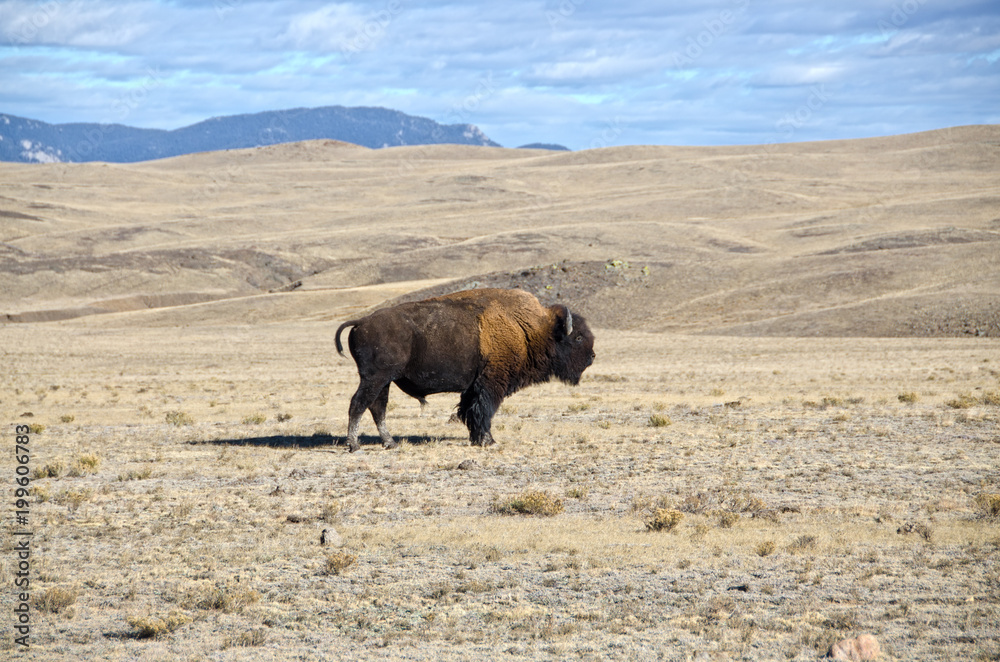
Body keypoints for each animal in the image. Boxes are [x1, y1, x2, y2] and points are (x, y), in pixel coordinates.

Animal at [335, 288, 595, 452]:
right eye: (578, 337)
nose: (592, 357)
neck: (533, 328)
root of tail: (361, 321)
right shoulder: (491, 384)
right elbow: (483, 411)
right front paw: (489, 441)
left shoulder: (472, 387)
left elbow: (470, 411)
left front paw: (477, 440)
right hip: (375, 378)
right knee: (359, 404)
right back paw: (354, 445)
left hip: (384, 381)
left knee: (377, 408)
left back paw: (390, 443)